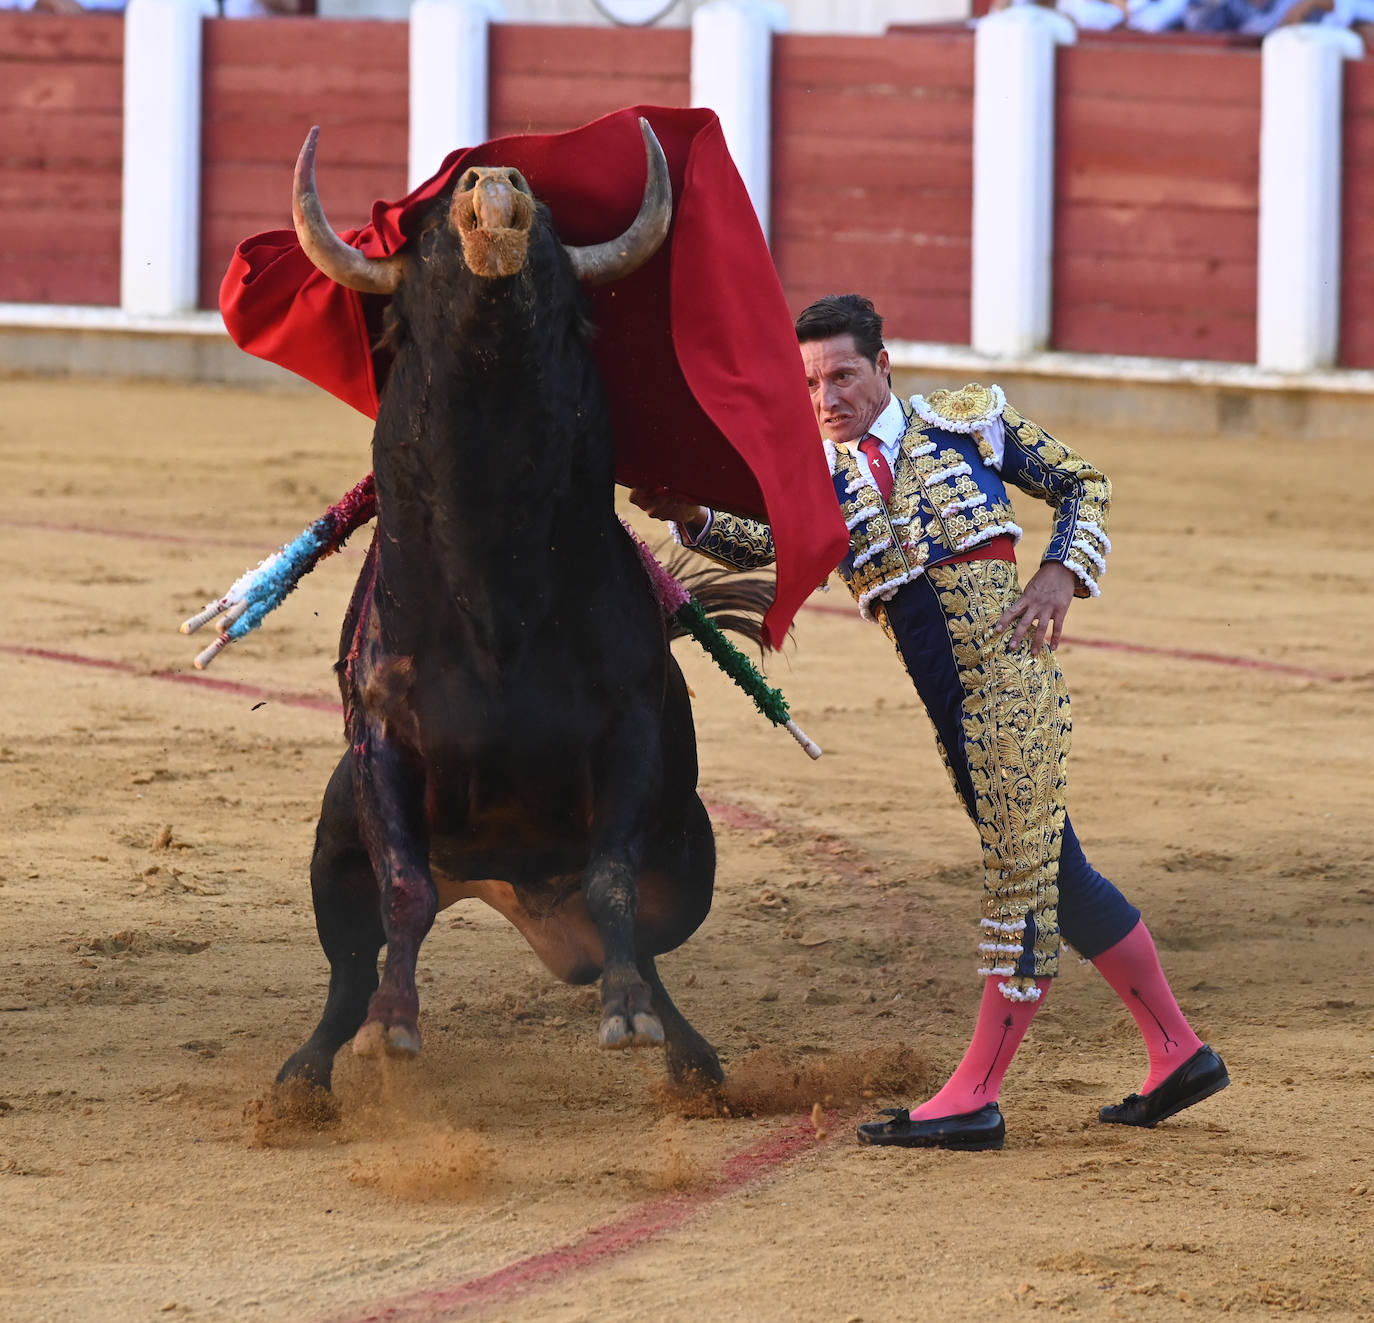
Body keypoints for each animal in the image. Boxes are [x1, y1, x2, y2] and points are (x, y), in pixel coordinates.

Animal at [277, 121, 741, 1099]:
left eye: (557, 262)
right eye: (425, 251)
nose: (492, 188)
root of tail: (510, 889)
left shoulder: (631, 731)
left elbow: (612, 881)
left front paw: (628, 1015)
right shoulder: (381, 742)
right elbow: (404, 892)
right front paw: (392, 1028)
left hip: (691, 858)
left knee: (646, 936)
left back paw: (684, 1050)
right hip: (333, 840)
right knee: (350, 960)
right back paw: (307, 1072)